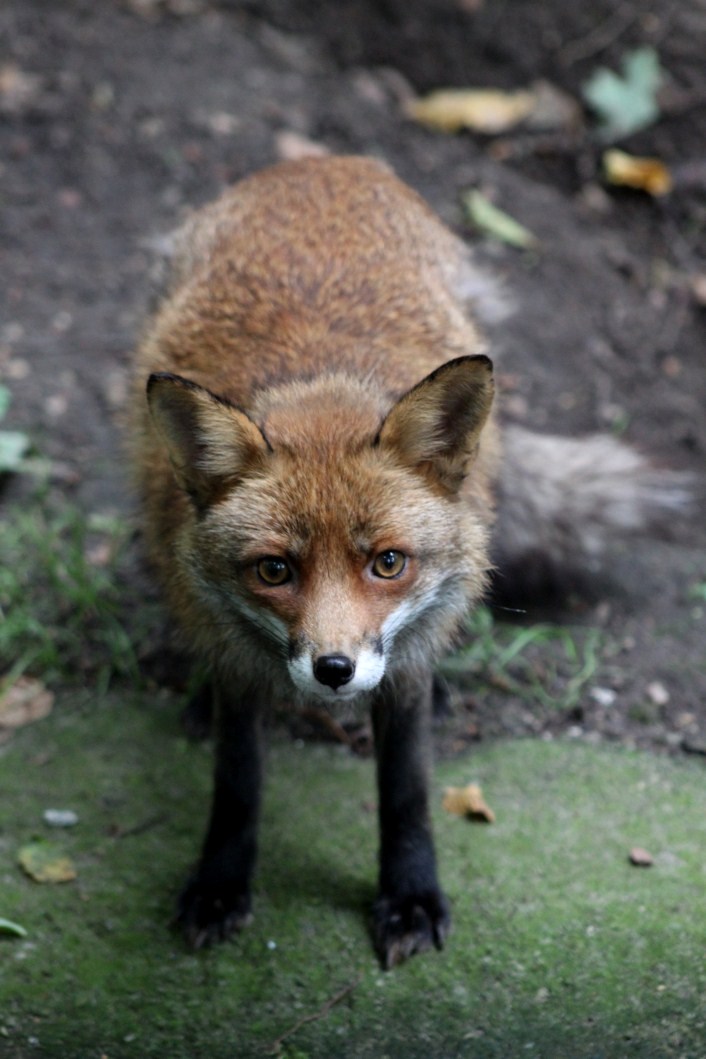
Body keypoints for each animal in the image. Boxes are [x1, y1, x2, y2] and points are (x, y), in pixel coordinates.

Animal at [131, 155, 685, 968]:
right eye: (274, 571)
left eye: (388, 563)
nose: (334, 671)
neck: (322, 387)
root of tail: (325, 163)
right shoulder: (237, 659)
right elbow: (237, 781)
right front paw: (221, 884)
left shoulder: (406, 671)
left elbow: (408, 789)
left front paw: (411, 896)